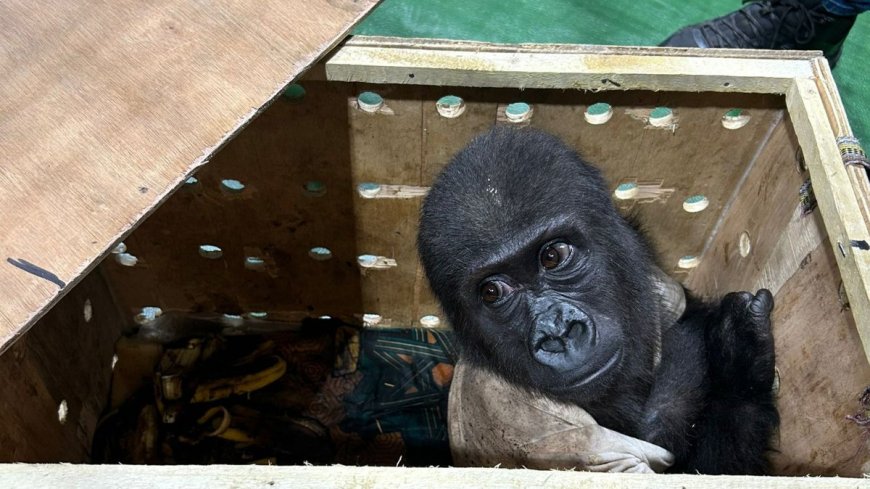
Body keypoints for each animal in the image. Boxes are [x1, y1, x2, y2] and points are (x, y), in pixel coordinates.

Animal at [418, 126, 780, 472]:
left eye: (552, 256)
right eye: (492, 292)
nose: (558, 332)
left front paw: (737, 352)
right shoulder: (552, 434)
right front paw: (739, 366)